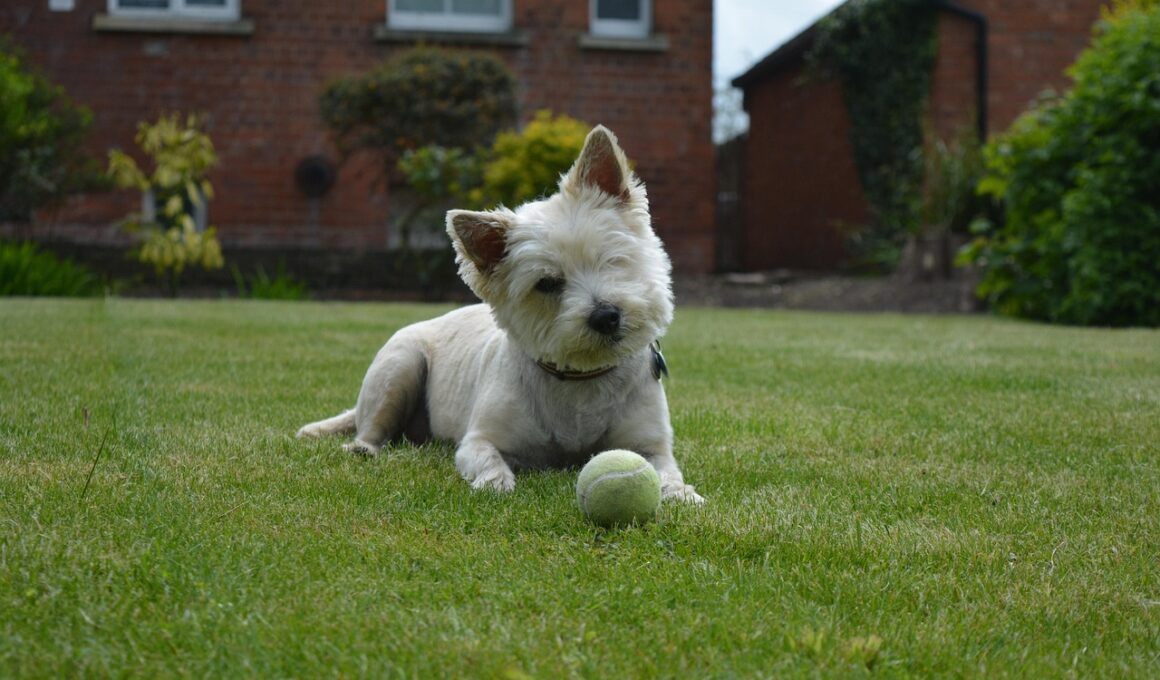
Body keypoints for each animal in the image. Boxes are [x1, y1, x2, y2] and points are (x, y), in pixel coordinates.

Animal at [297, 125, 702, 503]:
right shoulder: (478, 440)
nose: (606, 316)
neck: (581, 379)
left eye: (612, 259)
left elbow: (665, 470)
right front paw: (495, 483)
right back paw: (363, 447)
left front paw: (681, 493)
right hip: (398, 367)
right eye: (547, 283)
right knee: (371, 426)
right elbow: (488, 459)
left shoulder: (651, 445)